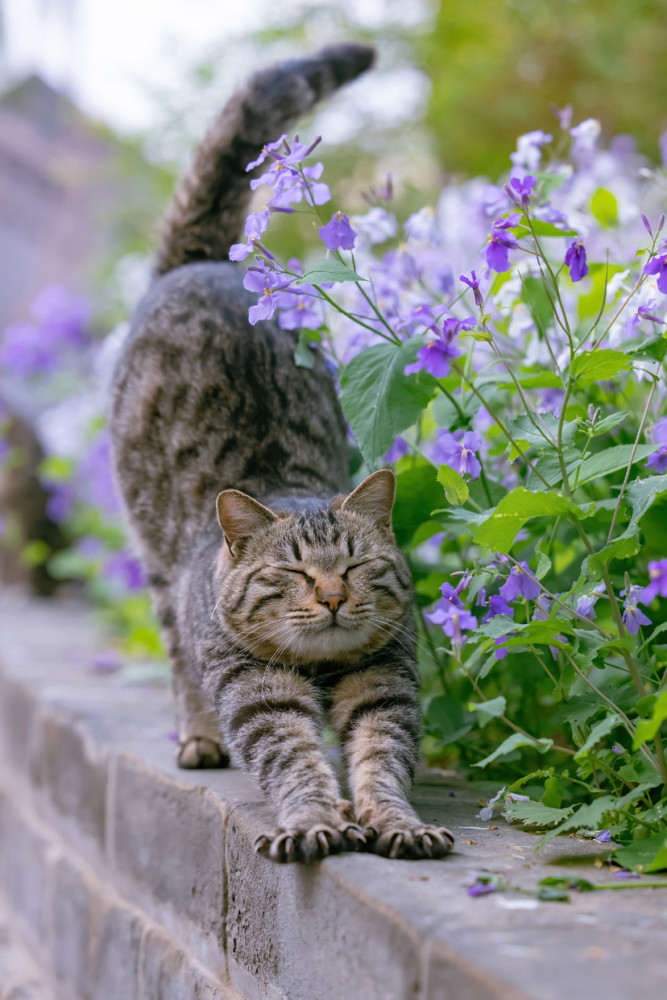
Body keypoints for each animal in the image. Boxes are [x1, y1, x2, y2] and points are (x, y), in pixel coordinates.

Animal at [109, 43, 454, 864]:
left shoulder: (384, 682)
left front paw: (394, 822)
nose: (330, 598)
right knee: (180, 665)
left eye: (353, 568)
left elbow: (381, 757)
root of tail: (204, 261)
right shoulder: (258, 693)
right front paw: (315, 820)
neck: (322, 669)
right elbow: (293, 758)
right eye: (293, 573)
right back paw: (199, 738)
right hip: (159, 569)